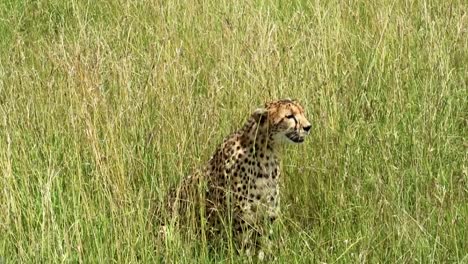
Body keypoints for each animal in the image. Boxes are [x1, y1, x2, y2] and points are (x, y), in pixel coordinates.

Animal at [165, 98, 310, 258]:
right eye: (289, 116)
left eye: (302, 112)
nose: (308, 127)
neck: (267, 152)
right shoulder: (242, 218)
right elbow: (245, 248)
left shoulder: (268, 214)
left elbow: (264, 246)